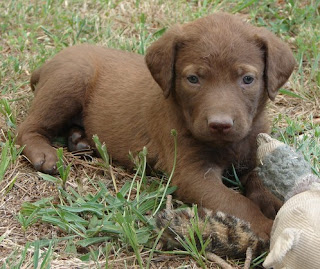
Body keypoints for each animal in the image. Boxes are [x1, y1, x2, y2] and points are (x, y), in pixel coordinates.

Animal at [18, 13, 296, 238]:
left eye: (248, 79)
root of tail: (46, 65)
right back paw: (45, 154)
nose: (220, 124)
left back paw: (80, 140)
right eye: (193, 79)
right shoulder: (191, 174)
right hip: (70, 79)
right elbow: (236, 203)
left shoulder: (254, 150)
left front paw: (275, 203)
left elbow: (263, 180)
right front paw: (267, 227)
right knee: (27, 128)